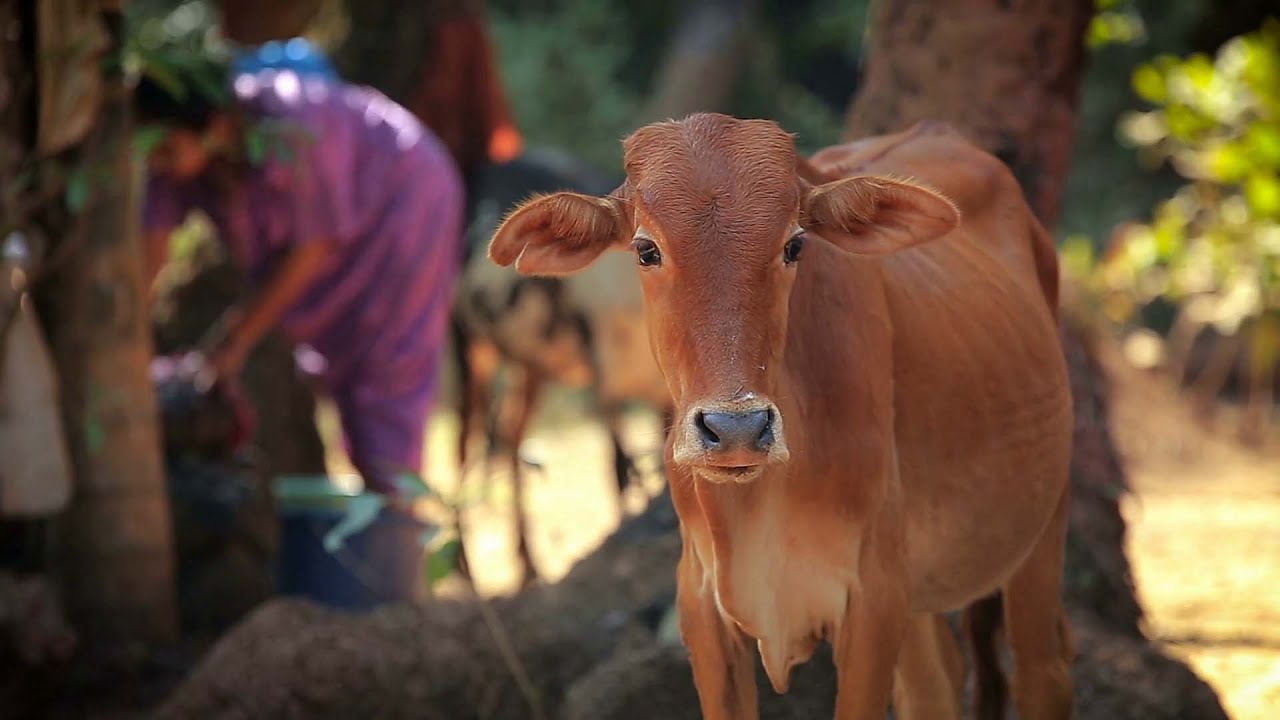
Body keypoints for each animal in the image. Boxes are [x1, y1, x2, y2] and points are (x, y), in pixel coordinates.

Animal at [488, 113, 1074, 719]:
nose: (736, 430)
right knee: (934, 686)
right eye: (646, 249)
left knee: (1042, 670)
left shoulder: (872, 601)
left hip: (1042, 521)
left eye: (793, 244)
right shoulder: (703, 606)